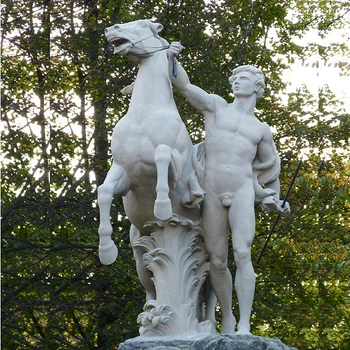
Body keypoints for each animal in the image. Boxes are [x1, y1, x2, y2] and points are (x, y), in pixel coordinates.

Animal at [97, 20, 204, 276]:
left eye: (143, 24)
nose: (111, 29)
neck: (143, 114)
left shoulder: (176, 165)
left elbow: (162, 155)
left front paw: (162, 206)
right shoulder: (124, 171)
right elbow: (104, 191)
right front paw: (106, 250)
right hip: (141, 254)